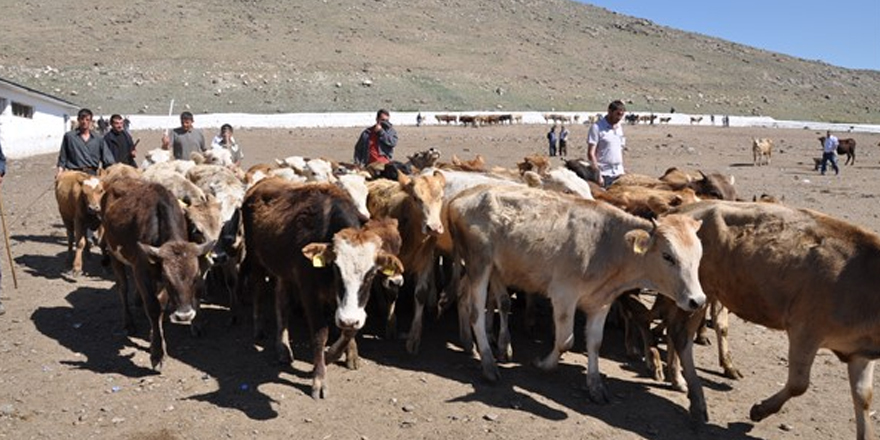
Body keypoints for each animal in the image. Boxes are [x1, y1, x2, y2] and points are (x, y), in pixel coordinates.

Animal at [100, 175, 215, 372]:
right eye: (169, 280)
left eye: (195, 279)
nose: (184, 316)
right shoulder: (142, 271)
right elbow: (153, 307)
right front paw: (157, 354)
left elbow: (160, 306)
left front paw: (157, 338)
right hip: (114, 254)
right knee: (122, 288)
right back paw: (128, 322)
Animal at [446, 184, 708, 404]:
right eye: (667, 256)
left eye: (699, 256)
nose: (698, 300)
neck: (607, 244)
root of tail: (462, 196)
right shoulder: (563, 295)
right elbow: (565, 340)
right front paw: (544, 364)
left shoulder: (601, 303)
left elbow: (595, 342)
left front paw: (595, 386)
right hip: (479, 263)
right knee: (476, 312)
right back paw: (488, 364)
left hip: (489, 269)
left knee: (466, 295)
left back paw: (474, 343)